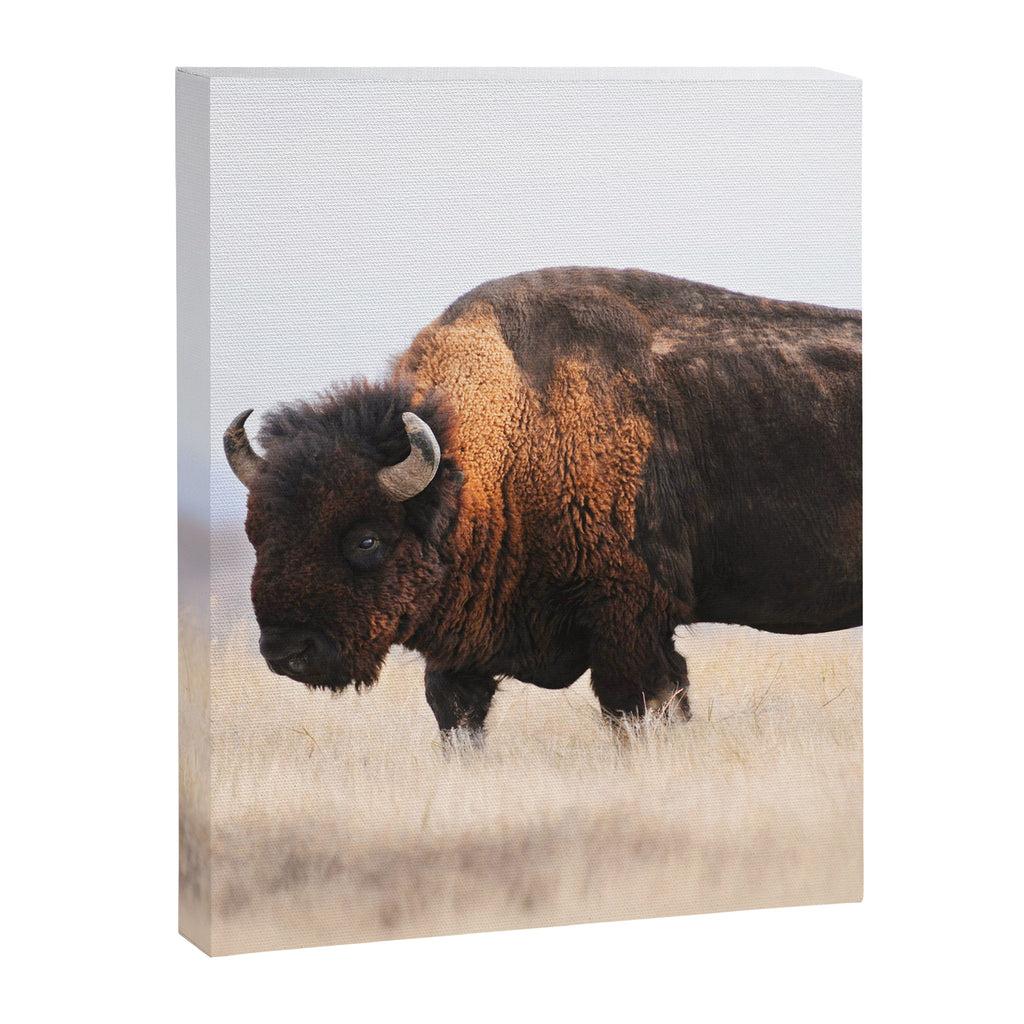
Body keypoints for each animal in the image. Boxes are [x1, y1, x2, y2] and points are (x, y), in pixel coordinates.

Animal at [225, 267, 861, 741]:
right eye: (256, 534)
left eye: (366, 539)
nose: (287, 650)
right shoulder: (461, 646)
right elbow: (455, 715)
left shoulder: (628, 618)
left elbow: (639, 705)